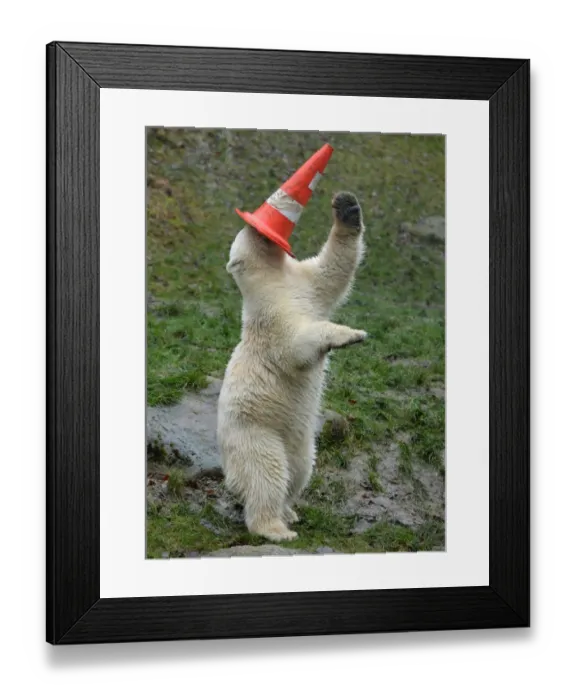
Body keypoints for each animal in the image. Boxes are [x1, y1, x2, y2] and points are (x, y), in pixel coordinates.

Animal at [216, 191, 367, 542]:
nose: (264, 230)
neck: (275, 281)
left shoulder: (303, 284)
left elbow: (331, 272)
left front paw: (347, 207)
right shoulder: (272, 318)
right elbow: (296, 346)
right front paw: (349, 334)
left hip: (301, 444)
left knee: (299, 470)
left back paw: (290, 511)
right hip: (255, 433)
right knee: (267, 474)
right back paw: (276, 528)